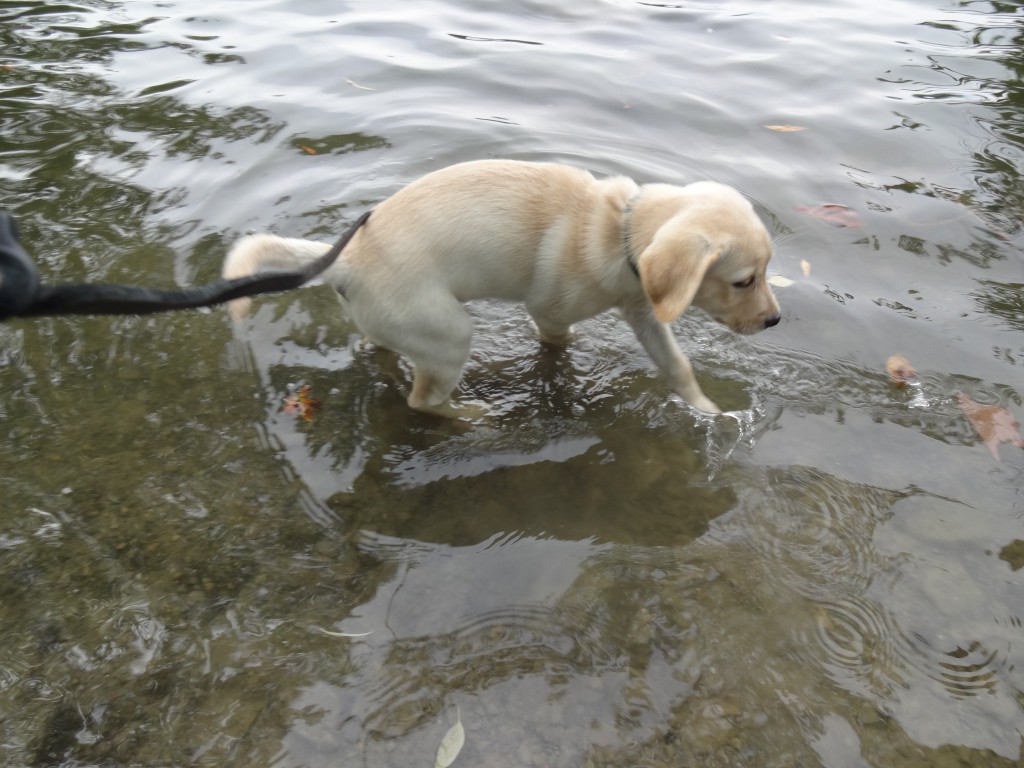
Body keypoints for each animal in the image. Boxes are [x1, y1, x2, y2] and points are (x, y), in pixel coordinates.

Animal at [223, 159, 780, 417]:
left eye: (767, 270)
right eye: (743, 281)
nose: (775, 321)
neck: (618, 229)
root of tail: (347, 262)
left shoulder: (645, 311)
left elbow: (677, 365)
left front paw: (707, 410)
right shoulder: (550, 315)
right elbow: (557, 348)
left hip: (399, 326)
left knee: (381, 349)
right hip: (449, 334)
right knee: (422, 401)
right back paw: (472, 416)